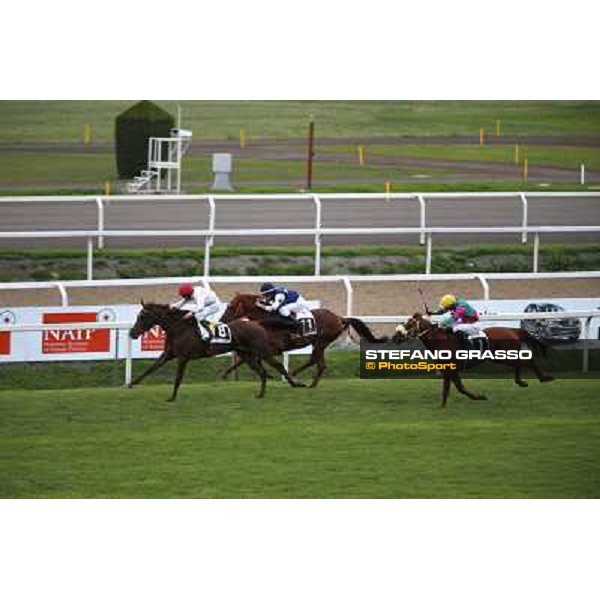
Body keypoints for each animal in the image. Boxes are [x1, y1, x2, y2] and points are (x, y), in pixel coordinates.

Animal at [126, 302, 304, 400]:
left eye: (142, 316)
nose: (132, 333)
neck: (179, 328)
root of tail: (257, 323)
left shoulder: (183, 357)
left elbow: (178, 378)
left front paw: (172, 397)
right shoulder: (168, 354)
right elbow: (152, 368)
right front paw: (131, 383)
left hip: (261, 351)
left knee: (278, 366)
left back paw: (296, 384)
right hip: (247, 355)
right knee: (262, 372)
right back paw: (261, 394)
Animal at [219, 292, 384, 386]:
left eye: (231, 306)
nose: (222, 320)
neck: (266, 320)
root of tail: (340, 318)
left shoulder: (270, 349)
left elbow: (258, 360)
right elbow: (244, 359)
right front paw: (225, 373)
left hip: (321, 341)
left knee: (316, 361)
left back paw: (298, 376)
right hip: (319, 343)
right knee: (319, 363)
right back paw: (310, 383)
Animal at [392, 314, 556, 408]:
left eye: (409, 324)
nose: (395, 337)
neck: (441, 341)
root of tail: (513, 330)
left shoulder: (450, 369)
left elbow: (451, 388)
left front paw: (443, 406)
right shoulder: (449, 370)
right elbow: (459, 387)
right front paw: (478, 397)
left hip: (505, 355)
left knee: (526, 361)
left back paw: (543, 378)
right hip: (502, 357)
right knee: (520, 363)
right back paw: (521, 381)